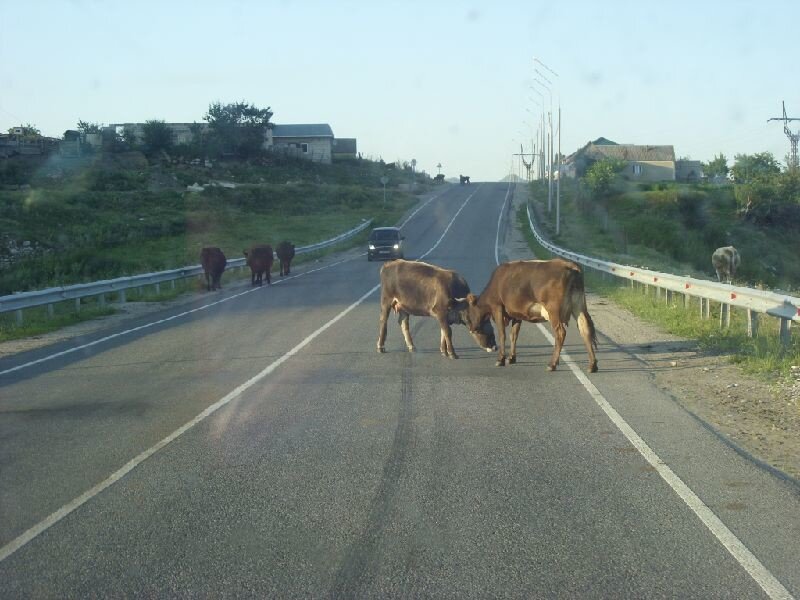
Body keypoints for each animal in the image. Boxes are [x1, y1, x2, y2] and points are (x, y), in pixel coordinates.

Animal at [460, 258, 596, 372]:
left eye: (468, 314)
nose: (471, 328)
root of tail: (570, 265)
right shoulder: (516, 314)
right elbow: (514, 335)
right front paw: (512, 358)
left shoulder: (497, 307)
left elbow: (502, 334)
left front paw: (500, 359)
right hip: (579, 306)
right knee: (585, 330)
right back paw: (592, 365)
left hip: (554, 311)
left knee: (560, 333)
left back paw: (552, 364)